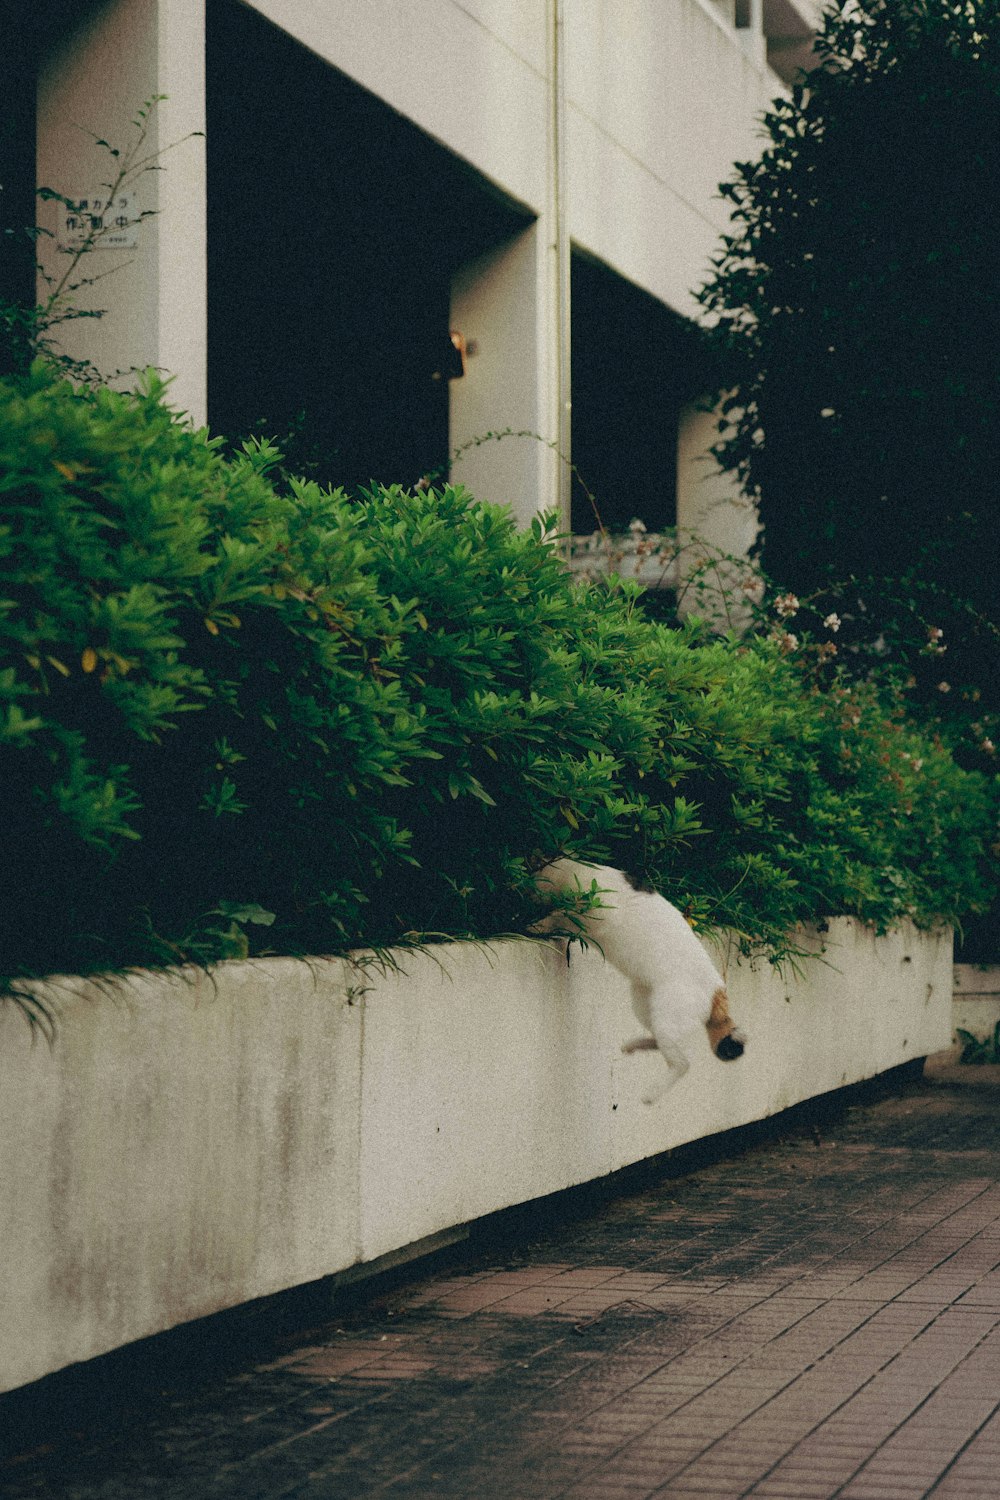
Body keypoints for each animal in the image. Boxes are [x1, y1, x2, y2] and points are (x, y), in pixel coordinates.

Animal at [536, 864, 746, 1098]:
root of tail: (717, 988)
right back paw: (631, 1046)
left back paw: (651, 1095)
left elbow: (561, 915)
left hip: (668, 1015)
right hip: (646, 1007)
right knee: (658, 1041)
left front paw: (539, 925)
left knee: (682, 1063)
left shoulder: (597, 911)